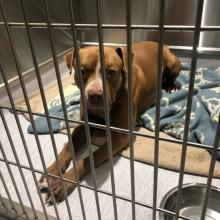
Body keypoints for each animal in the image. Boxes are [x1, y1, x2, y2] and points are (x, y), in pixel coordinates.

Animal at [38, 40, 181, 203]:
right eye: (82, 71)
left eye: (111, 72)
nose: (94, 95)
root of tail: (157, 42)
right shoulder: (83, 125)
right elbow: (68, 146)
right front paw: (51, 173)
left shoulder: (119, 137)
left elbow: (90, 159)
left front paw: (63, 183)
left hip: (173, 63)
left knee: (171, 77)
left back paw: (171, 86)